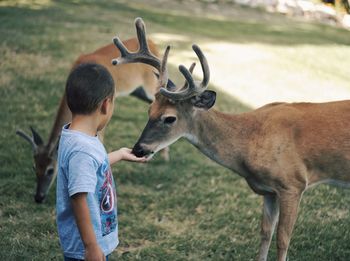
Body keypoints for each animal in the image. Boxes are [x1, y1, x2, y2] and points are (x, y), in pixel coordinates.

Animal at [16, 36, 172, 203]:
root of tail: (153, 43)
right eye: (34, 167)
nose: (38, 197)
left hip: (150, 85)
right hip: (138, 91)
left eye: (50, 170)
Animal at [112, 17, 350, 260]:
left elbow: (283, 240)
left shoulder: (293, 183)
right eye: (149, 109)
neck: (249, 141)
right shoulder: (269, 190)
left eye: (170, 118)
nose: (138, 149)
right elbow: (265, 233)